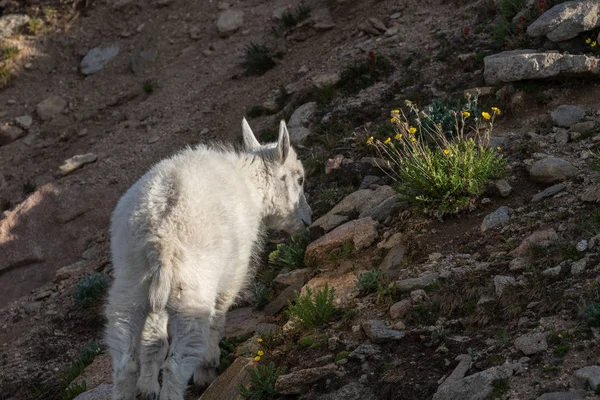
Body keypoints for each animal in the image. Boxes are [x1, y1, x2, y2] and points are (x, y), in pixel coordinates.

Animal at [103, 119, 312, 400]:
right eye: (300, 179)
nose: (308, 220)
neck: (250, 184)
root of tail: (159, 236)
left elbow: (153, 340)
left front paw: (148, 388)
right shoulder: (232, 272)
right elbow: (219, 314)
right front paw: (208, 365)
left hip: (131, 286)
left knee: (125, 361)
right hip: (191, 290)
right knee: (176, 364)